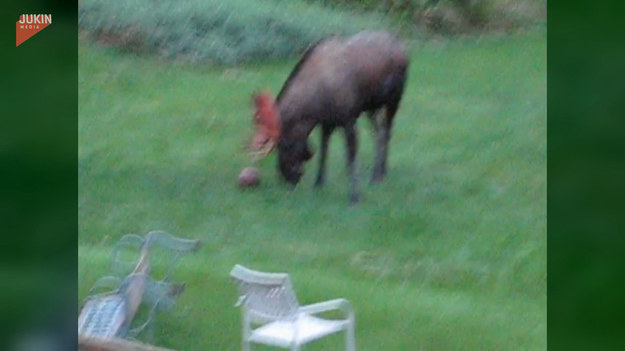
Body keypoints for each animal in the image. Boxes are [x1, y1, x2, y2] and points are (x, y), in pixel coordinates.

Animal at [251, 30, 408, 204]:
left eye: (283, 144)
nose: (285, 178)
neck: (314, 108)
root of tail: (401, 45)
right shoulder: (326, 123)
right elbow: (324, 150)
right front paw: (319, 182)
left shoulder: (348, 120)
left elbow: (350, 157)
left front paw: (355, 196)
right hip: (371, 108)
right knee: (378, 132)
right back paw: (379, 171)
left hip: (394, 99)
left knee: (387, 132)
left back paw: (379, 174)